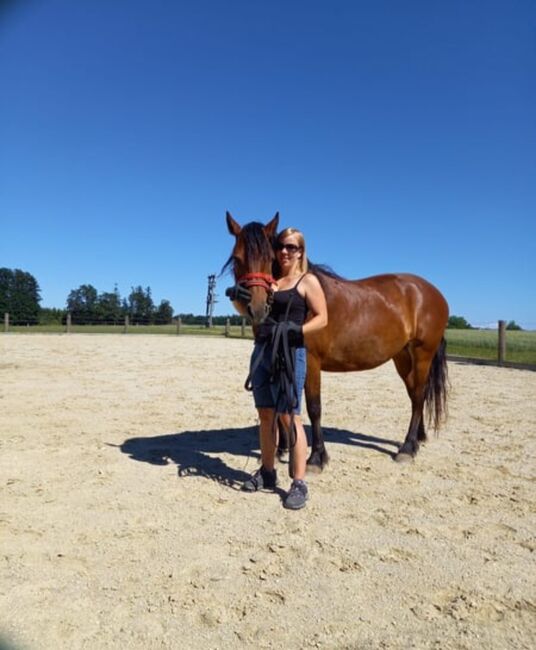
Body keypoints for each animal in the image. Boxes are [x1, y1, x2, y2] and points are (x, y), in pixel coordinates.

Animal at [224, 211, 450, 466]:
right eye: (237, 258)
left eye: (270, 257)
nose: (257, 307)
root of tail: (432, 292)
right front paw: (282, 449)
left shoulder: (311, 362)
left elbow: (314, 407)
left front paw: (316, 457)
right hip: (402, 356)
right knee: (415, 395)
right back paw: (419, 438)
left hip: (422, 354)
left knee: (419, 394)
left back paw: (408, 447)